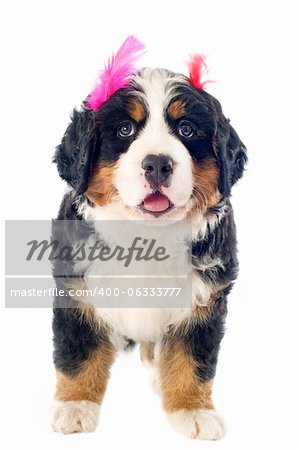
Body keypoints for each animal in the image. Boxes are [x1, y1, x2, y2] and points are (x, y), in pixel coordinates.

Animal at [51, 39, 248, 440]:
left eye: (186, 129)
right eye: (126, 129)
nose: (157, 163)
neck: (145, 235)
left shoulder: (204, 299)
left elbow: (191, 359)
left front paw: (193, 409)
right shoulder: (75, 291)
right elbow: (78, 353)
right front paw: (75, 405)